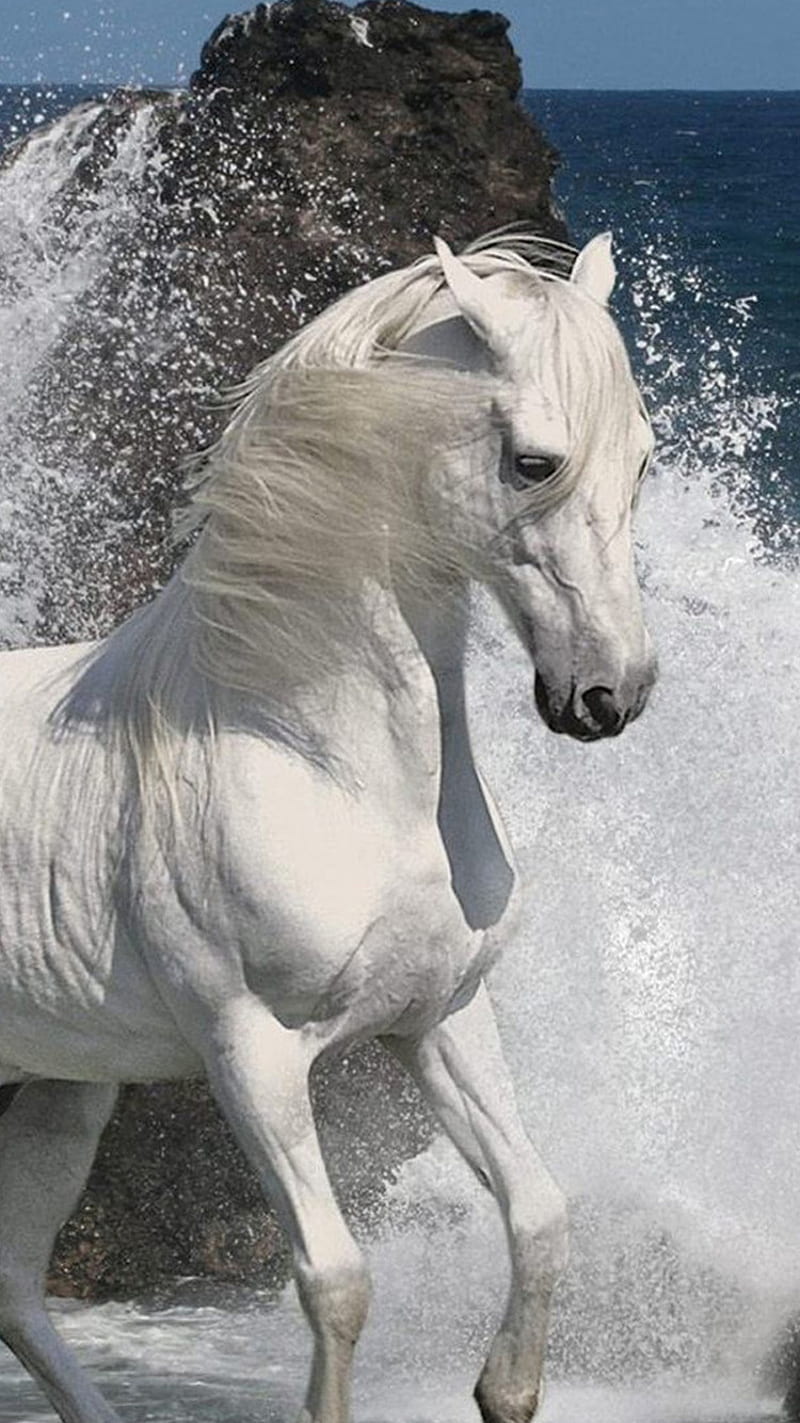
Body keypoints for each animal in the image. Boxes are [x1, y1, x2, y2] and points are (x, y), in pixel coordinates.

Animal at [0, 228, 656, 1423]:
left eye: (639, 461)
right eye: (534, 462)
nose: (608, 696)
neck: (309, 751)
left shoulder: (440, 1019)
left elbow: (539, 1214)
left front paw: (503, 1390)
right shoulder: (250, 1053)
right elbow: (337, 1280)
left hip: (64, 1092)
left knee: (15, 1284)